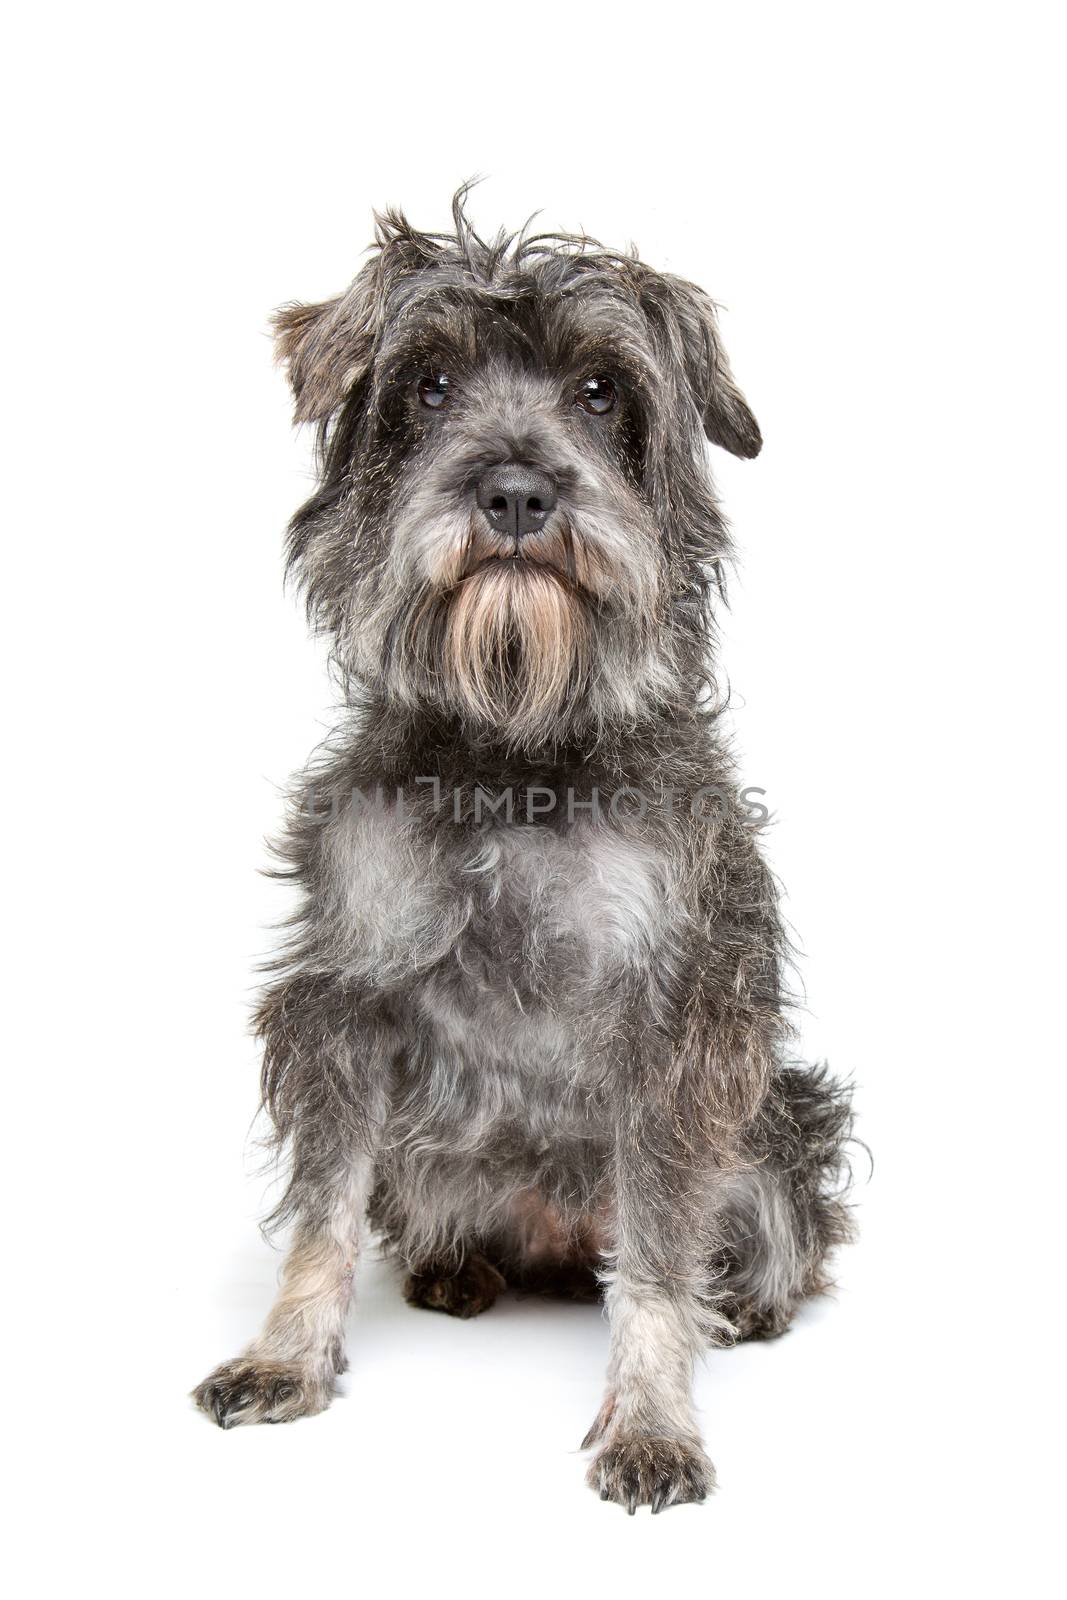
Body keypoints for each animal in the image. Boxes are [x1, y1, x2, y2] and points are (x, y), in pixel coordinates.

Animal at [191, 190, 857, 1510]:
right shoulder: (341, 1004)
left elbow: (654, 1259)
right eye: (429, 384)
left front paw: (651, 1420)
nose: (511, 493)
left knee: (745, 1242)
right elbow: (322, 1211)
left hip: (772, 1128)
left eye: (600, 391)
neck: (509, 748)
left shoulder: (677, 1026)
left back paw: (741, 1308)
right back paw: (454, 1271)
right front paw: (286, 1356)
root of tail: (552, 1241)